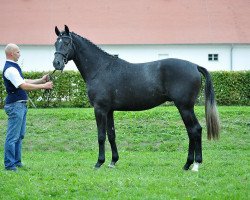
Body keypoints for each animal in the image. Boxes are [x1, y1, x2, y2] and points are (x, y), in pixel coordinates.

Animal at [53, 25, 221, 172]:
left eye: (67, 43)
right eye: (56, 43)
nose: (57, 63)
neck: (101, 69)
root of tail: (195, 66)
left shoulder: (100, 109)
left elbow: (101, 136)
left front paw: (99, 163)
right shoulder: (109, 111)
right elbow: (111, 134)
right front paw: (113, 161)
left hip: (184, 107)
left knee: (195, 130)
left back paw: (195, 165)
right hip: (185, 108)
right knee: (191, 132)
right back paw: (187, 164)